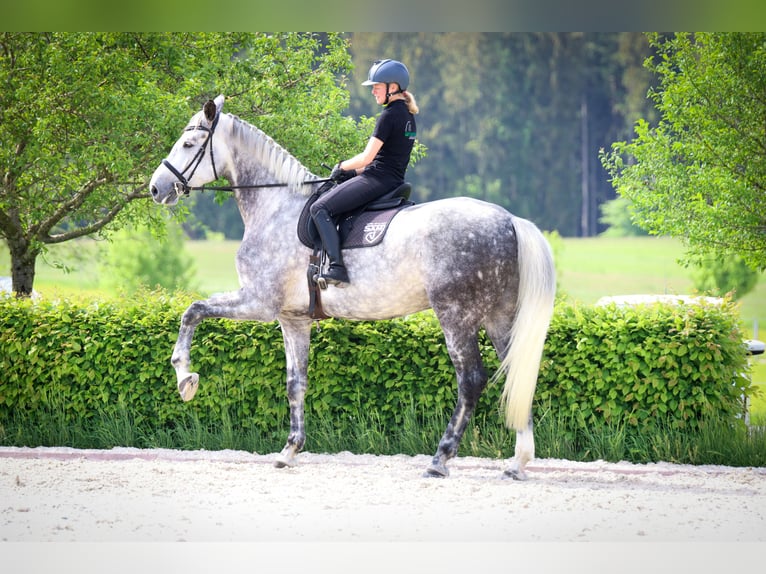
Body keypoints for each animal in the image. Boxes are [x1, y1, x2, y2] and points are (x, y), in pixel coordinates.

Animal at [152, 95, 560, 482]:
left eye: (188, 144)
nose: (157, 188)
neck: (275, 208)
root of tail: (509, 220)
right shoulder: (293, 319)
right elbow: (295, 383)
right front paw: (289, 451)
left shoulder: (258, 303)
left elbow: (193, 311)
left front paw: (185, 378)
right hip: (498, 317)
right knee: (516, 374)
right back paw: (518, 462)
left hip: (456, 316)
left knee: (471, 380)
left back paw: (440, 460)